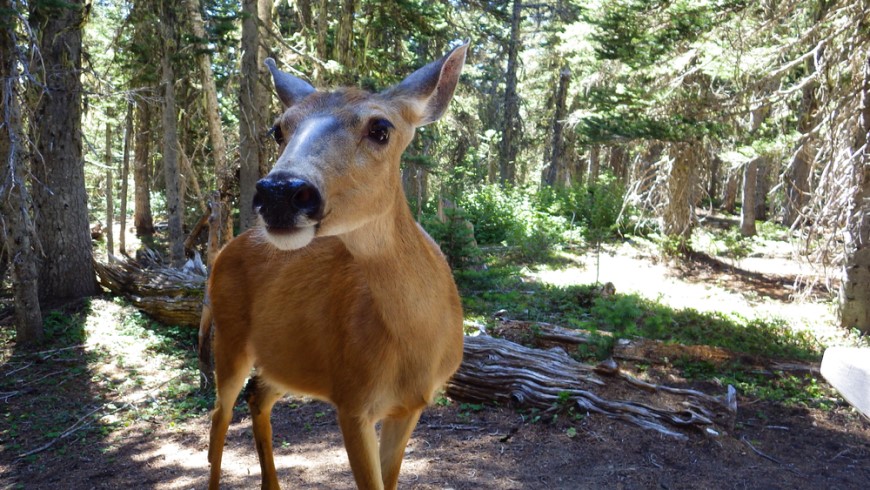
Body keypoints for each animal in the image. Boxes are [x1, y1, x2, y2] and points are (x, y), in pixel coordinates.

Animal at [199, 43, 470, 490]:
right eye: (279, 129)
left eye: (381, 128)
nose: (279, 192)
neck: (416, 344)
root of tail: (223, 251)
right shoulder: (352, 399)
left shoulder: (409, 406)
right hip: (230, 335)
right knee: (219, 415)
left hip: (285, 359)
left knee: (258, 396)